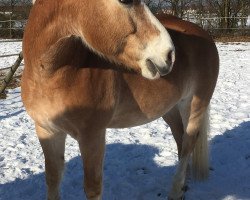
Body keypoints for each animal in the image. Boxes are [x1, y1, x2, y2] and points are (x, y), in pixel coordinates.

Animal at [21, 0, 219, 200]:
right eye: (125, 1)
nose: (169, 55)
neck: (53, 73)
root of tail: (203, 34)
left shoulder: (92, 136)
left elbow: (92, 187)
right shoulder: (47, 131)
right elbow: (53, 178)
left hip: (194, 105)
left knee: (188, 144)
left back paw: (176, 190)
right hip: (170, 109)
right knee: (180, 139)